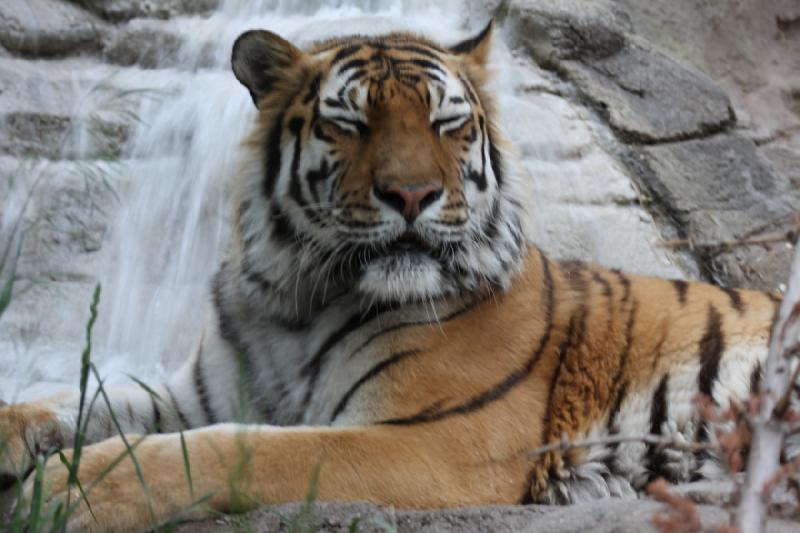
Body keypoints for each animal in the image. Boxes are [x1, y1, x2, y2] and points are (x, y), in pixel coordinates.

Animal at [0, 19, 784, 528]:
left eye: (447, 124)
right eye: (349, 124)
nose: (412, 195)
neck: (294, 297)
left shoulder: (432, 439)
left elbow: (239, 449)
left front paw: (75, 490)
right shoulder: (199, 393)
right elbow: (85, 400)